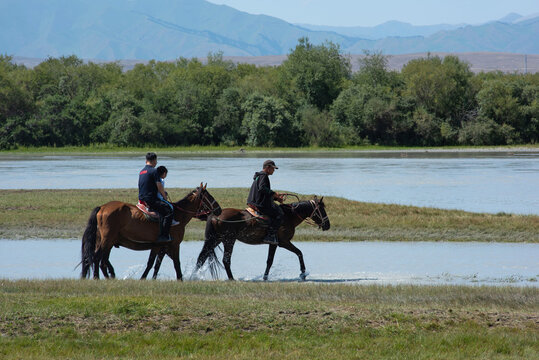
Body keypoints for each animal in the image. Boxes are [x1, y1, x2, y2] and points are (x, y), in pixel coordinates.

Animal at [79, 184, 221, 280]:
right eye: (209, 196)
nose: (219, 209)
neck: (179, 215)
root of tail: (102, 207)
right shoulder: (173, 245)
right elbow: (175, 263)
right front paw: (180, 279)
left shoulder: (160, 247)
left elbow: (154, 264)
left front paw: (149, 278)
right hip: (107, 240)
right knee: (98, 258)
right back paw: (100, 277)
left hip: (106, 241)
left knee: (100, 259)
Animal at [194, 197, 330, 282]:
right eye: (322, 210)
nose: (327, 225)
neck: (288, 216)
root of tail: (214, 215)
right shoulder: (283, 242)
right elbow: (298, 253)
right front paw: (303, 274)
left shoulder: (274, 243)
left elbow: (270, 260)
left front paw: (265, 277)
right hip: (229, 240)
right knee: (225, 260)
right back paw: (232, 279)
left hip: (215, 240)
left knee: (202, 257)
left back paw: (194, 276)